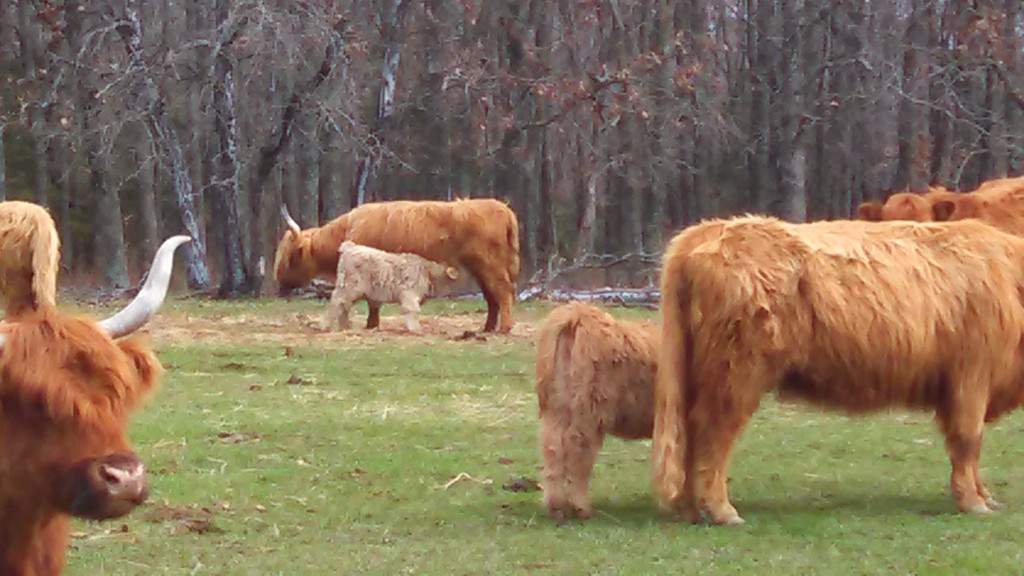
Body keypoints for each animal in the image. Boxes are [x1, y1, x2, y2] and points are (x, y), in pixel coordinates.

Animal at [321, 241, 462, 333]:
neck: (426, 272)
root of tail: (350, 247)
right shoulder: (409, 294)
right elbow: (412, 310)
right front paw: (415, 329)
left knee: (345, 306)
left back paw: (345, 326)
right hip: (348, 287)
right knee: (336, 303)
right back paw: (326, 326)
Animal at [534, 302, 658, 521]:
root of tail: (575, 315)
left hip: (556, 406)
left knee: (552, 446)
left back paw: (556, 506)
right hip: (590, 408)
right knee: (578, 448)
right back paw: (581, 507)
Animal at [651, 214, 1024, 526]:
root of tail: (712, 228)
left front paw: (985, 496)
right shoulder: (971, 375)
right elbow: (968, 439)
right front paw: (974, 502)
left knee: (687, 432)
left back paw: (690, 509)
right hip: (736, 373)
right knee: (712, 432)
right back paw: (721, 510)